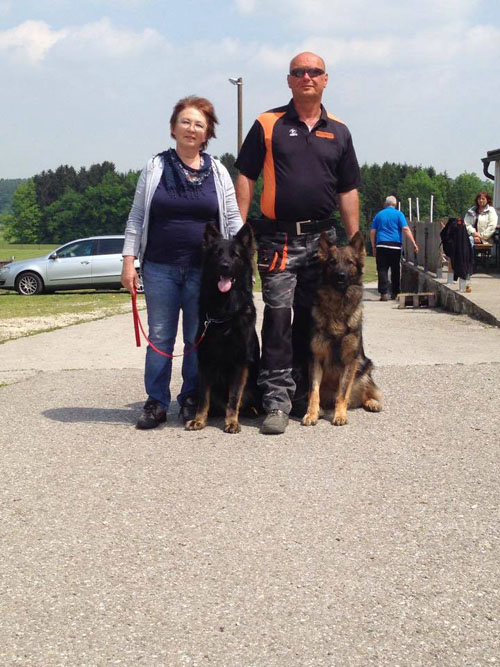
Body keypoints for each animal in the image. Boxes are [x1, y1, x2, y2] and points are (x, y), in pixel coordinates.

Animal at [185, 222, 262, 436]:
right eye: (217, 254)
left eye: (235, 255)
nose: (224, 266)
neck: (224, 312)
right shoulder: (205, 362)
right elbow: (204, 397)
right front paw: (199, 420)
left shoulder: (240, 363)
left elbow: (234, 396)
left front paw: (232, 422)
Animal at [302, 231, 380, 428]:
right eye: (332, 262)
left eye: (350, 262)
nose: (341, 276)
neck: (337, 306)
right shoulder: (315, 359)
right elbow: (313, 392)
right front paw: (311, 414)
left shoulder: (350, 361)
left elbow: (343, 393)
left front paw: (340, 415)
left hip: (364, 370)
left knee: (363, 394)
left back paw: (371, 402)